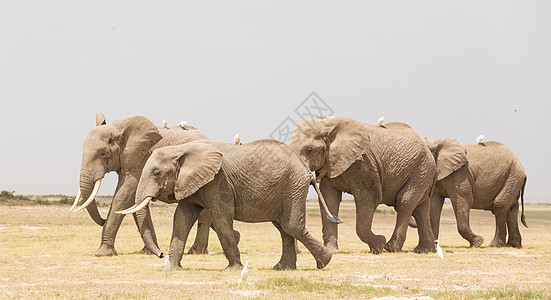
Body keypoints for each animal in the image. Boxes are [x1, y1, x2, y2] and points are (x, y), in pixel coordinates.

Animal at [71, 113, 226, 256]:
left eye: (103, 154)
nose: (162, 254)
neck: (120, 129)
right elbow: (133, 201)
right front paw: (147, 252)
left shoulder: (142, 158)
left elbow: (123, 196)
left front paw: (102, 253)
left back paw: (196, 252)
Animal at [119, 139, 336, 270]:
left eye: (156, 173)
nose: (160, 254)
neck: (181, 149)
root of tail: (305, 168)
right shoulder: (191, 183)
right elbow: (181, 219)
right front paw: (172, 269)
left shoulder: (218, 181)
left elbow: (221, 219)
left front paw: (233, 269)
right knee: (284, 228)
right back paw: (283, 269)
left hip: (293, 186)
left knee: (292, 226)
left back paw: (325, 261)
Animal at [288, 116, 440, 254]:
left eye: (309, 150)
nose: (339, 220)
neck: (328, 126)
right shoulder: (330, 163)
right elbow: (329, 199)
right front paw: (332, 250)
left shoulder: (364, 163)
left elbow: (368, 198)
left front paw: (378, 245)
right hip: (422, 173)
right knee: (421, 208)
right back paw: (424, 250)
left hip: (421, 169)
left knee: (405, 203)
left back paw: (391, 248)